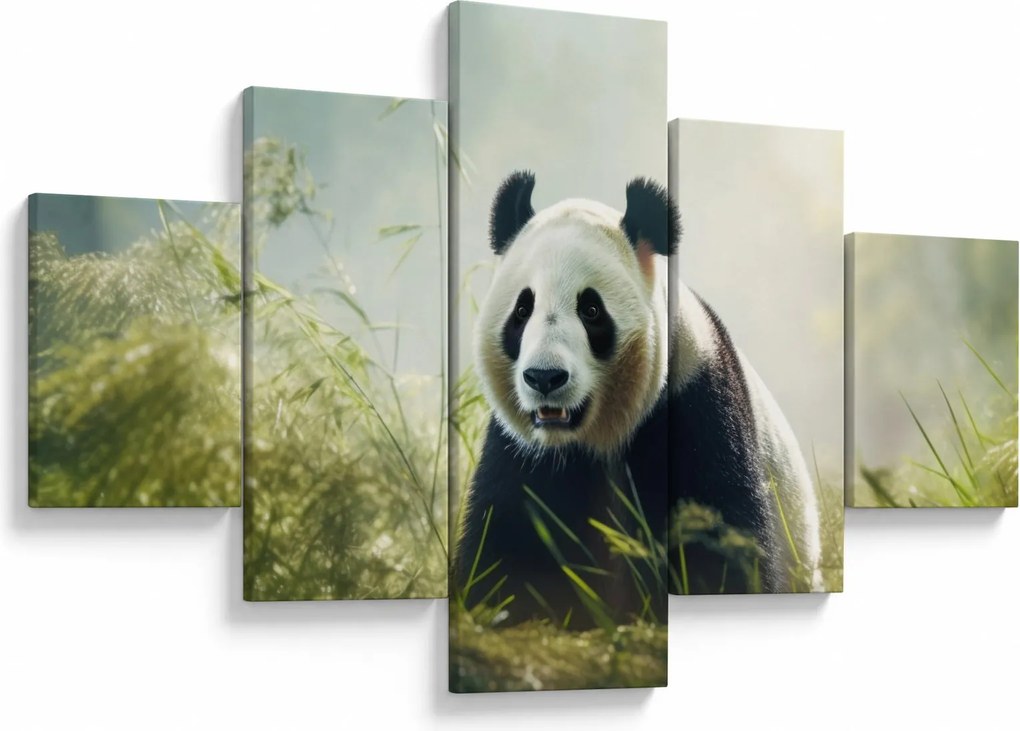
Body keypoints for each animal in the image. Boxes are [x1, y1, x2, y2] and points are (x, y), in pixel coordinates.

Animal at [453, 171, 821, 626]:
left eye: (591, 310)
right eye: (522, 310)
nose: (544, 377)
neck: (596, 435)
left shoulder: (694, 404)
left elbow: (718, 537)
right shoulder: (523, 450)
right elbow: (509, 543)